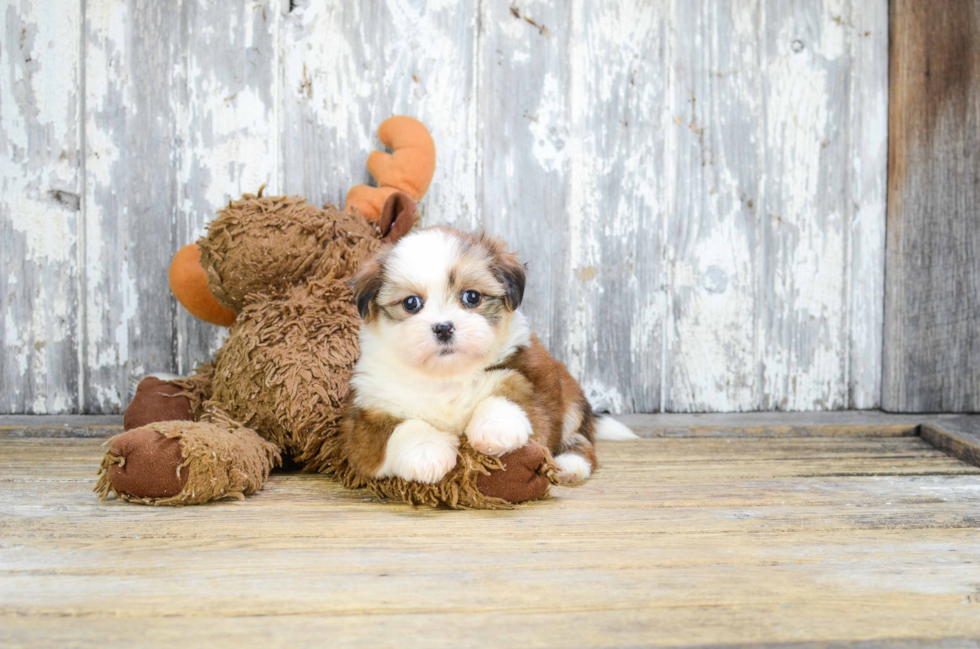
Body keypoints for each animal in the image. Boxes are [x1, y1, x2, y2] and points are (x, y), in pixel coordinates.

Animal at [342, 225, 636, 484]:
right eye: (411, 303)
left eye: (472, 297)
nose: (443, 327)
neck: (447, 376)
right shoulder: (367, 421)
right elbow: (398, 430)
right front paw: (426, 452)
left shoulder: (532, 382)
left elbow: (510, 390)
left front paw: (495, 428)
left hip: (570, 396)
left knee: (580, 440)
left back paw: (570, 465)